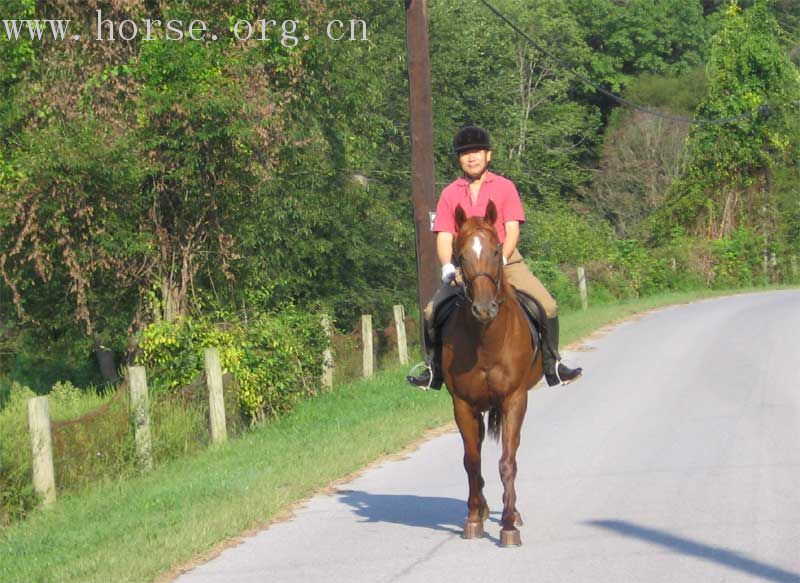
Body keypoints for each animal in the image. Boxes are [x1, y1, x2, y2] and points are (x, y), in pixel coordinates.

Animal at [440, 201, 540, 548]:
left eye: (497, 251)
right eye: (460, 256)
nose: (484, 309)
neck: (485, 339)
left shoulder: (514, 399)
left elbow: (508, 461)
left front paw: (508, 526)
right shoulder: (462, 405)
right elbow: (471, 462)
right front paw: (473, 519)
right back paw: (482, 510)